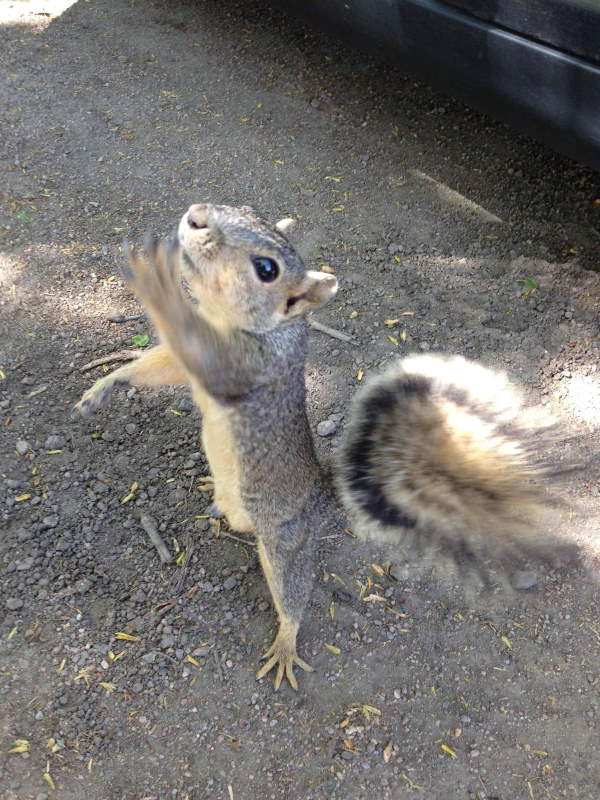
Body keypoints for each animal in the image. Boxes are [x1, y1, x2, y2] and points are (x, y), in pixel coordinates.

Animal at [75, 203, 568, 692]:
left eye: (267, 269)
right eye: (245, 209)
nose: (196, 216)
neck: (224, 317)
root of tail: (321, 492)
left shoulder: (252, 366)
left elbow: (205, 356)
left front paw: (156, 283)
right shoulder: (192, 358)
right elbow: (163, 364)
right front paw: (106, 384)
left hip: (285, 537)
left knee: (292, 589)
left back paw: (286, 644)